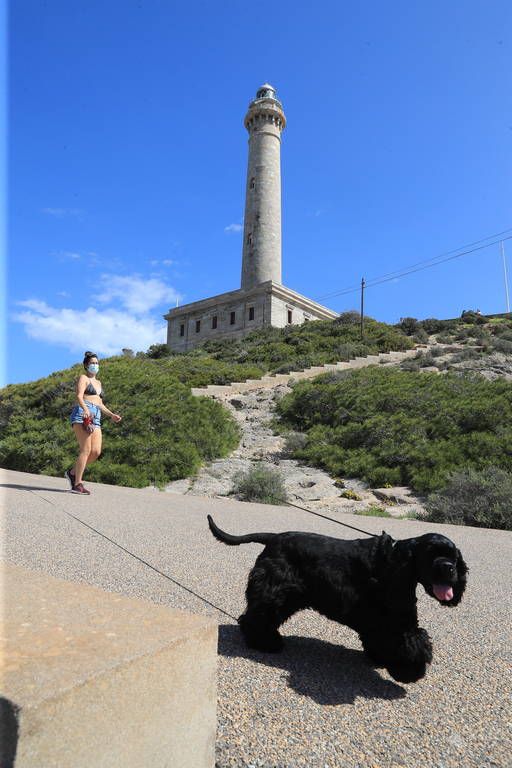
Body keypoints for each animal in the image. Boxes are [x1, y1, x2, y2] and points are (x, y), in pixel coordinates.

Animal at [206, 516, 466, 684]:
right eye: (431, 553)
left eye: (454, 556)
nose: (449, 568)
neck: (398, 561)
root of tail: (273, 538)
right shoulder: (394, 621)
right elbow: (409, 642)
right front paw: (410, 670)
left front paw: (381, 658)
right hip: (275, 591)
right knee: (257, 616)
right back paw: (266, 643)